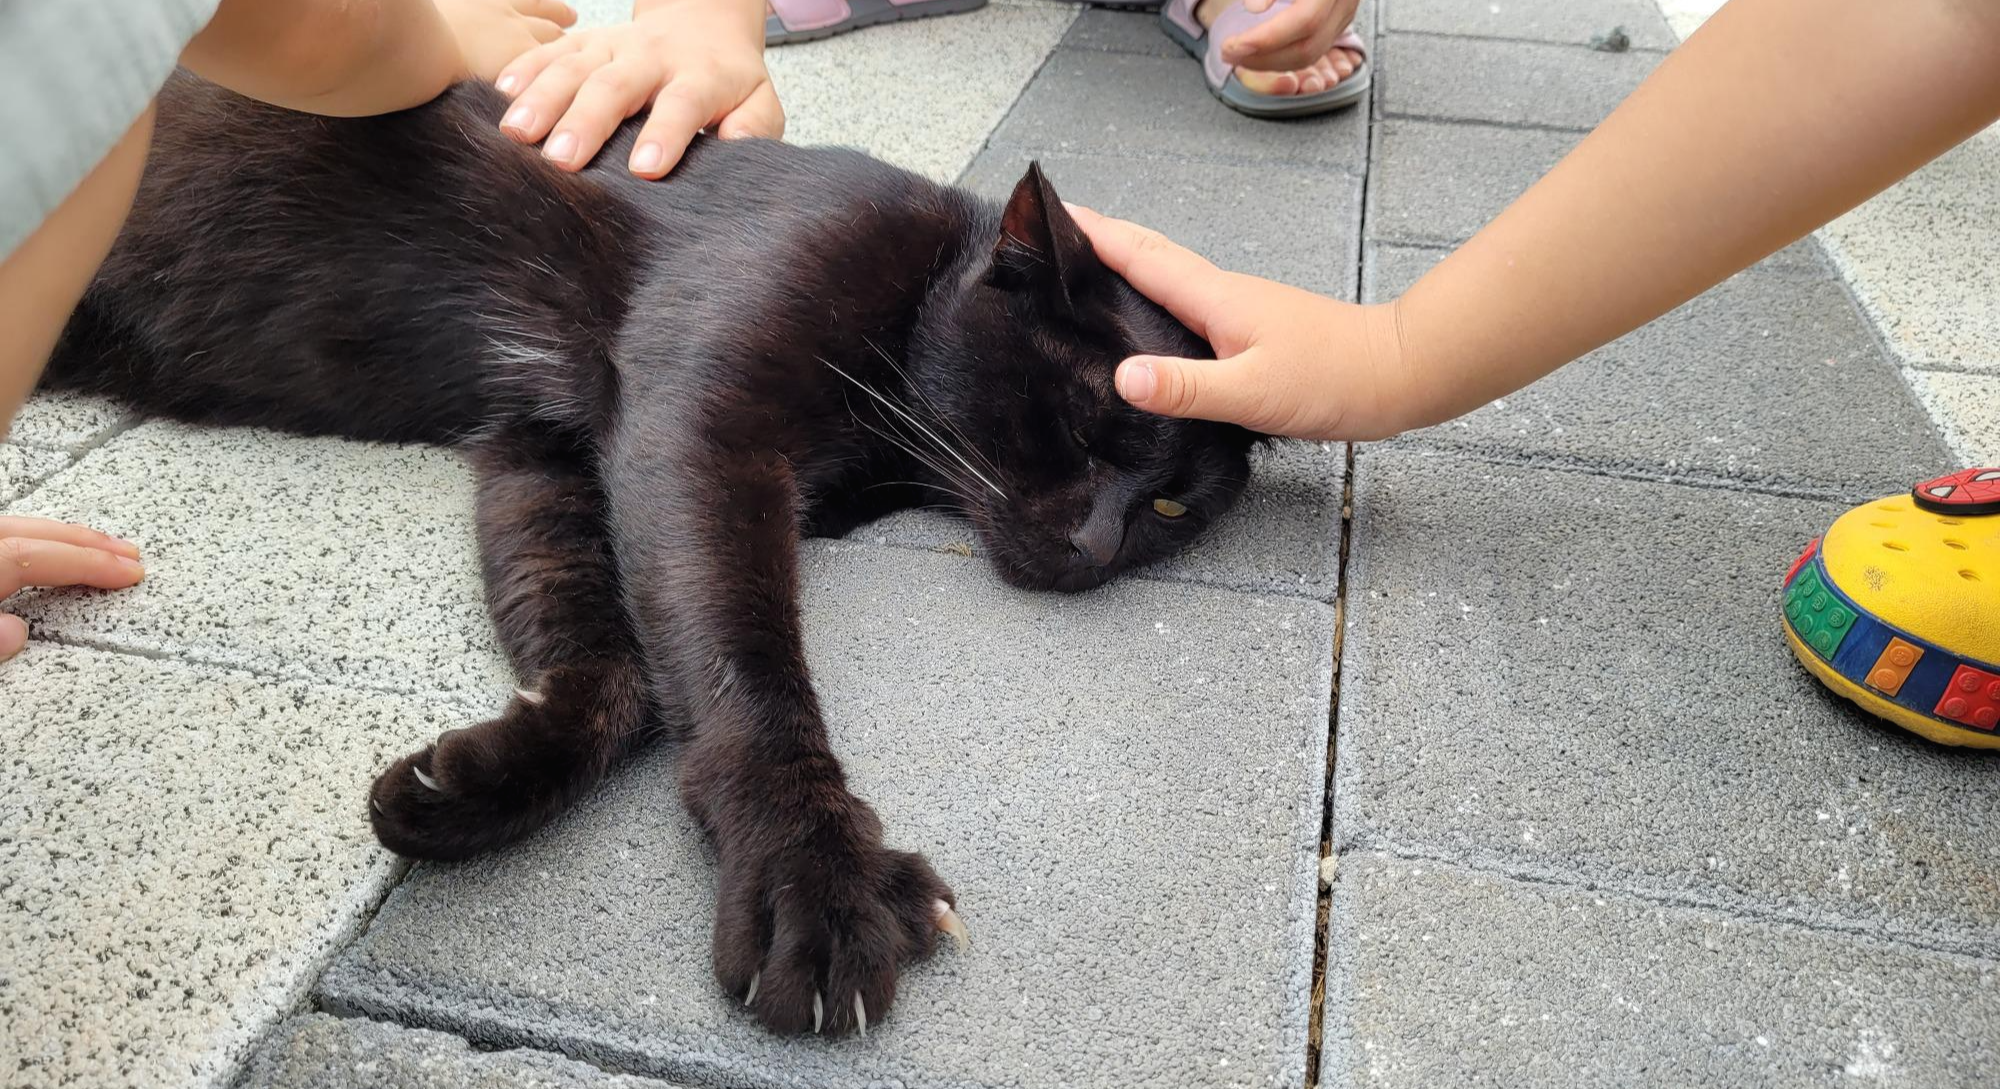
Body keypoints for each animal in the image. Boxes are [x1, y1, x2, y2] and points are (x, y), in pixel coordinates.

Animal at [47, 70, 1256, 1040]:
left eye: (1166, 508)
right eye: (1083, 426)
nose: (1097, 542)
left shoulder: (547, 453)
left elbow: (613, 660)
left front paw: (481, 779)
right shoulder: (696, 429)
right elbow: (741, 668)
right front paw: (810, 871)